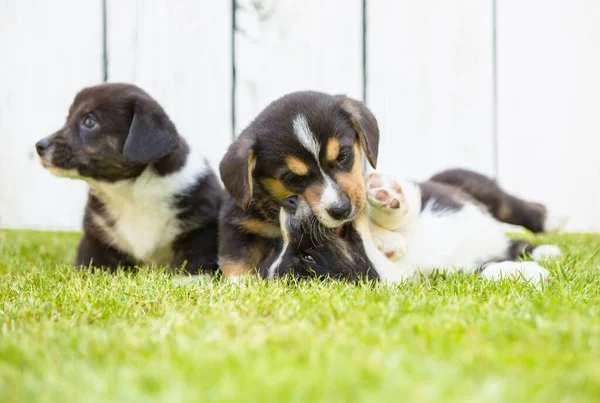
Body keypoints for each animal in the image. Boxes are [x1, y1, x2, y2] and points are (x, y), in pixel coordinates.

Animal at [34, 83, 220, 274]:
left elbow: (194, 264)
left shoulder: (200, 230)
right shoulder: (96, 237)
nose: (39, 146)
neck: (131, 191)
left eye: (89, 121)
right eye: (68, 118)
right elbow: (91, 264)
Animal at [268, 169, 564, 286]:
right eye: (308, 257)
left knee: (508, 204)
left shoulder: (426, 192)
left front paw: (384, 195)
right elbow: (486, 270)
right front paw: (532, 273)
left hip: (462, 180)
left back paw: (554, 222)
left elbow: (402, 207)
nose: (289, 201)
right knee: (514, 244)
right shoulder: (452, 273)